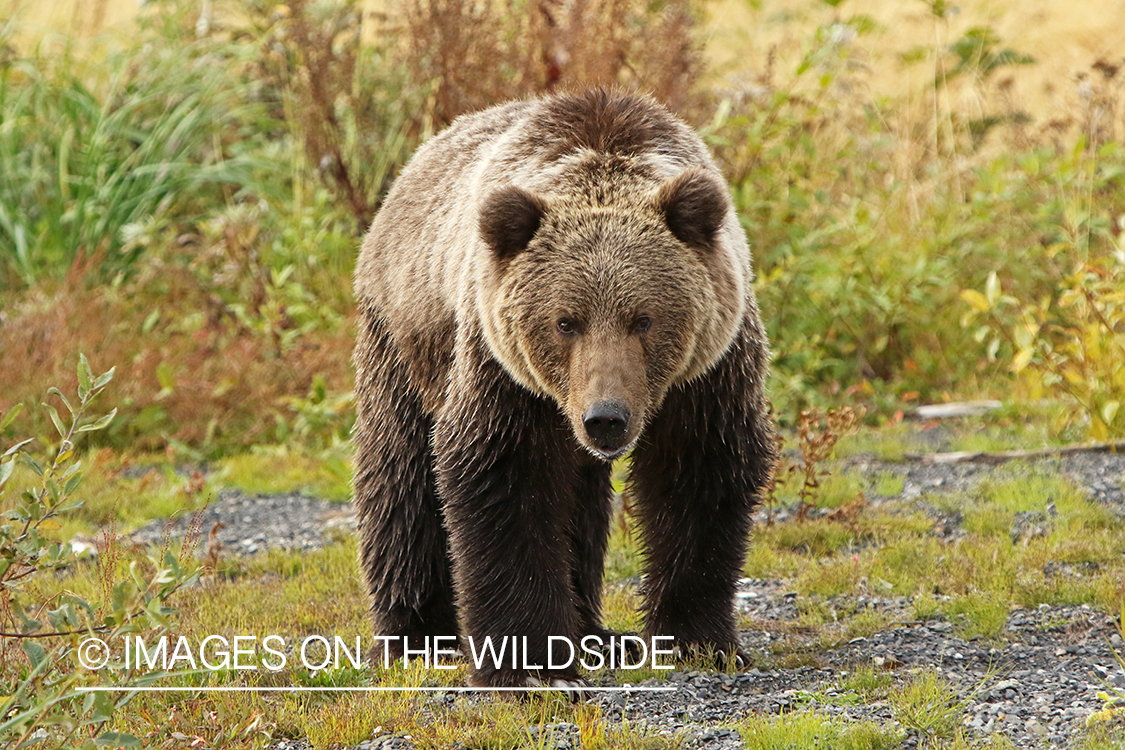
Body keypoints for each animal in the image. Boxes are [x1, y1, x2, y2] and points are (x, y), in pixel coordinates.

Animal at [352, 88, 775, 691]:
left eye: (643, 319)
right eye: (565, 321)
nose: (606, 418)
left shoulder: (707, 372)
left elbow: (699, 474)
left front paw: (700, 639)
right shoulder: (504, 372)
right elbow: (507, 479)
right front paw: (533, 666)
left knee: (582, 499)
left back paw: (598, 633)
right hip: (404, 339)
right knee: (400, 474)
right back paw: (415, 636)